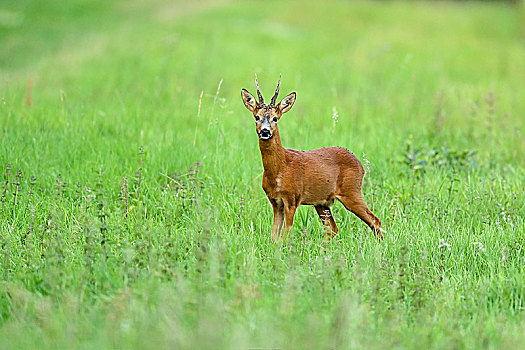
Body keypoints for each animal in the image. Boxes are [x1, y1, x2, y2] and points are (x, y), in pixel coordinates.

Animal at [239, 74, 382, 241]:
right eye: (257, 117)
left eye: (275, 118)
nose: (265, 132)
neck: (279, 169)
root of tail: (361, 165)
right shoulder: (275, 202)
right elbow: (274, 237)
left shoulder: (292, 199)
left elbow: (286, 236)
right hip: (322, 202)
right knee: (333, 228)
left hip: (351, 191)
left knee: (375, 221)